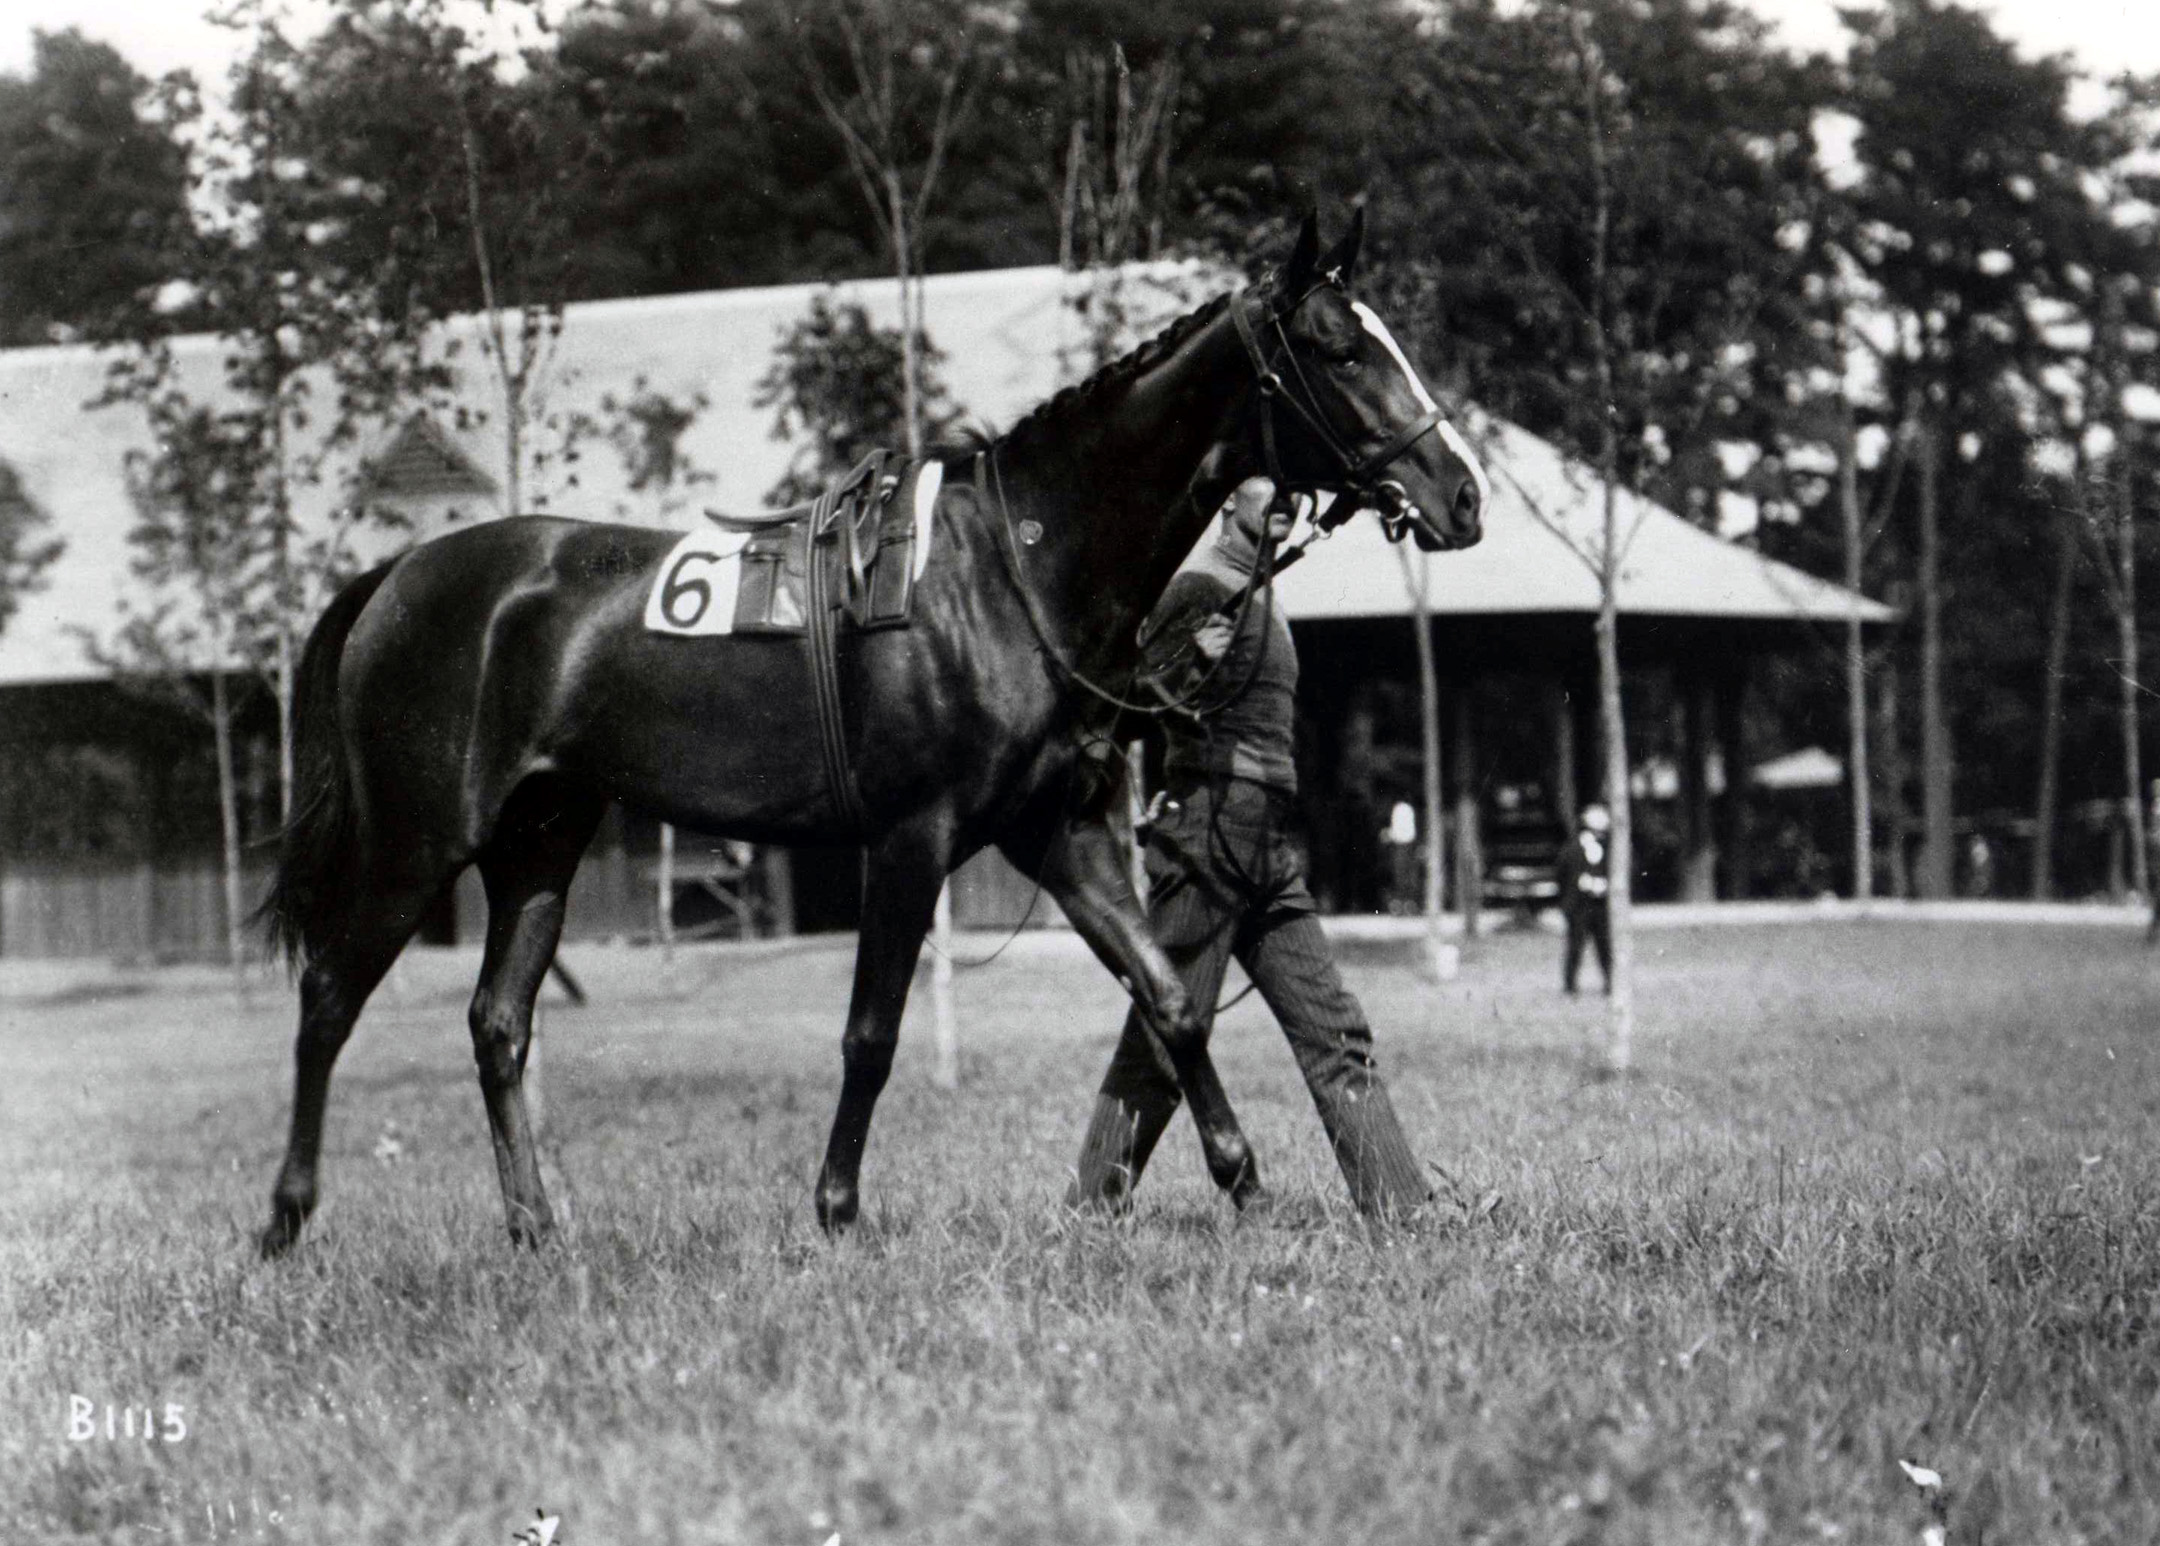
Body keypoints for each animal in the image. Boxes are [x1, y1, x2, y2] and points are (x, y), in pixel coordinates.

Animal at [257, 214, 1486, 1252]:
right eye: (1339, 349)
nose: (1461, 494)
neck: (1007, 569)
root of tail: (399, 576)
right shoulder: (908, 839)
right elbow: (872, 1033)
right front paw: (837, 1208)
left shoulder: (1058, 832)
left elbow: (1170, 1000)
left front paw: (1243, 1177)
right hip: (417, 839)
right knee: (327, 999)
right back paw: (286, 1220)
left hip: (539, 842)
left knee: (497, 1023)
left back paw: (537, 1228)